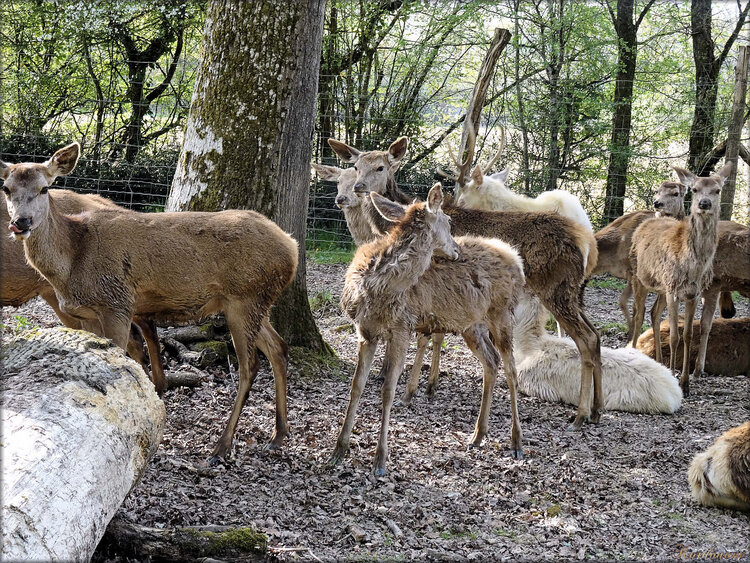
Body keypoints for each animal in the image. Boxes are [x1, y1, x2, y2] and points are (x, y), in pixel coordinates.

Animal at [2, 142, 296, 462]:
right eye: (6, 188)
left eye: (45, 188)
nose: (20, 222)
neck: (73, 262)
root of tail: (292, 248)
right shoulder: (87, 314)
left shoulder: (116, 303)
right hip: (254, 302)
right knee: (279, 348)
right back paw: (278, 435)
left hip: (245, 297)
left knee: (250, 365)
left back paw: (222, 445)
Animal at [332, 185, 524, 476]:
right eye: (448, 221)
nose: (457, 249)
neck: (377, 287)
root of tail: (517, 261)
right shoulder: (365, 331)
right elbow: (356, 385)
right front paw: (338, 450)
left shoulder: (402, 327)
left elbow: (388, 389)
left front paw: (380, 460)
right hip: (471, 324)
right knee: (491, 362)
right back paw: (477, 435)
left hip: (501, 314)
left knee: (512, 370)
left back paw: (516, 441)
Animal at [628, 161, 736, 394]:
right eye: (694, 189)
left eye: (717, 190)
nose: (704, 203)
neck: (693, 266)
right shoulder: (673, 290)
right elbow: (675, 336)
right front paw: (673, 377)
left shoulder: (693, 293)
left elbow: (687, 334)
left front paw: (685, 383)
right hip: (638, 277)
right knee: (638, 314)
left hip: (660, 288)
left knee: (653, 311)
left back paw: (658, 361)